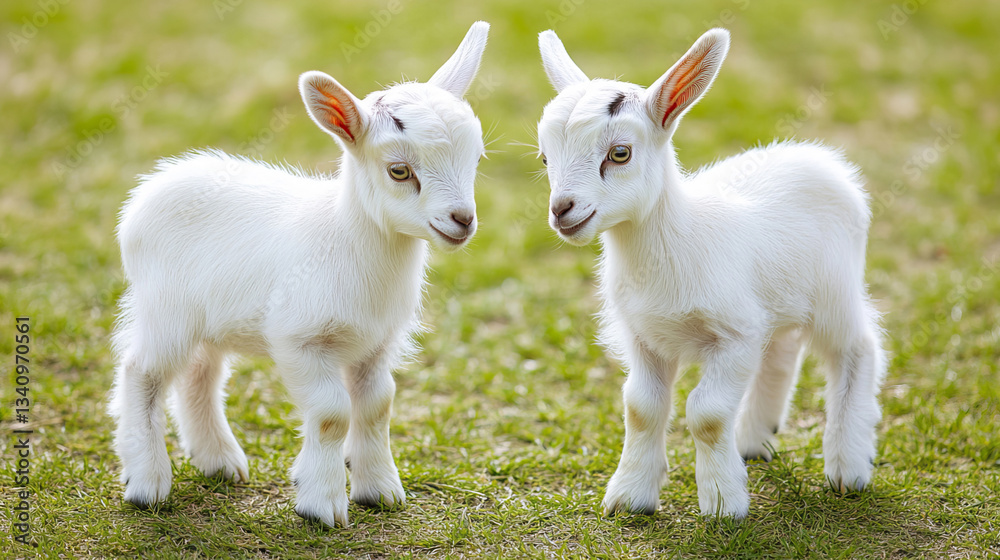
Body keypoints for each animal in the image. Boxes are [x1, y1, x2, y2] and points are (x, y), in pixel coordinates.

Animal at [110, 21, 490, 528]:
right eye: (399, 170)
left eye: (477, 159)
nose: (462, 220)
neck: (349, 238)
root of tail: (154, 183)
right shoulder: (299, 339)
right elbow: (332, 414)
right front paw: (322, 505)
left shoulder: (377, 343)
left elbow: (377, 406)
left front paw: (379, 490)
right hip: (165, 309)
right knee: (142, 372)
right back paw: (148, 483)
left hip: (207, 318)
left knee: (200, 375)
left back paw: (219, 462)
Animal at [537, 27, 885, 518]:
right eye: (545, 159)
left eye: (619, 153)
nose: (562, 210)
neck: (675, 242)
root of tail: (822, 159)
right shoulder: (643, 335)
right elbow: (641, 407)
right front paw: (631, 497)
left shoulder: (734, 335)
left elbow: (707, 414)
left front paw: (723, 504)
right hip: (777, 299)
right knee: (781, 351)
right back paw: (755, 440)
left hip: (835, 291)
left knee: (857, 347)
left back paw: (848, 465)